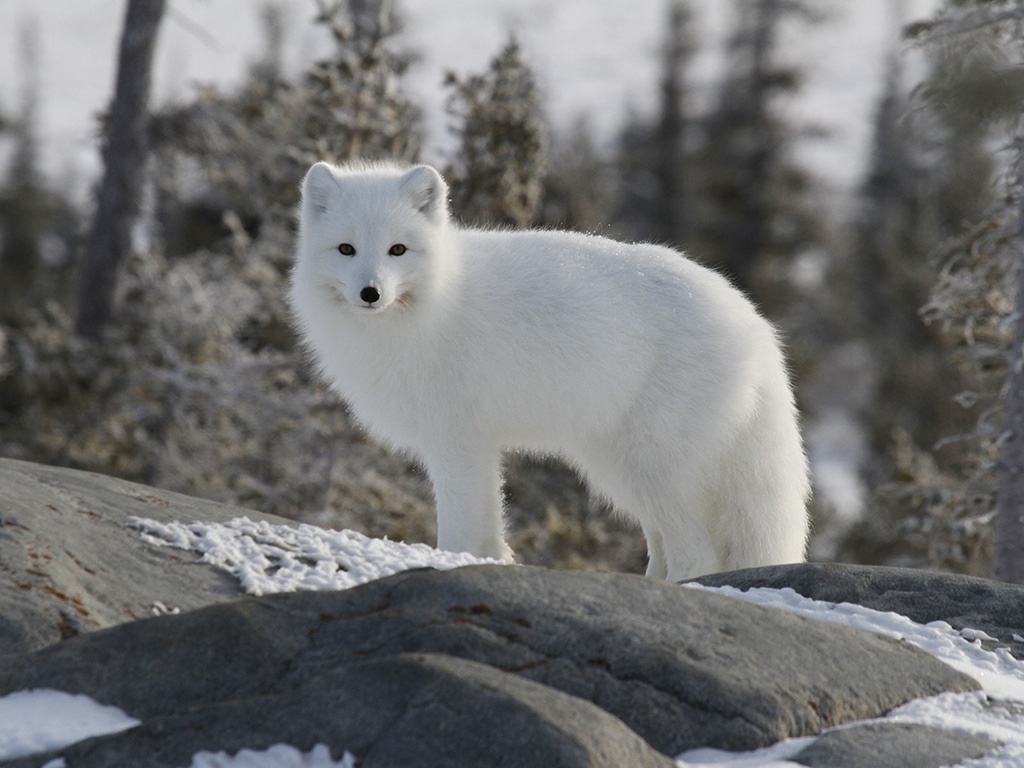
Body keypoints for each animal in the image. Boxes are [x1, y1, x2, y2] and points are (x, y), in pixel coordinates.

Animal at [288, 163, 806, 581]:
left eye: (398, 250)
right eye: (346, 249)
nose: (370, 293)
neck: (437, 303)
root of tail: (753, 322)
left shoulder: (458, 441)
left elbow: (458, 527)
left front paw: (453, 564)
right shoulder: (472, 446)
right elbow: (487, 528)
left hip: (653, 464)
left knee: (698, 554)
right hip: (621, 467)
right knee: (664, 544)